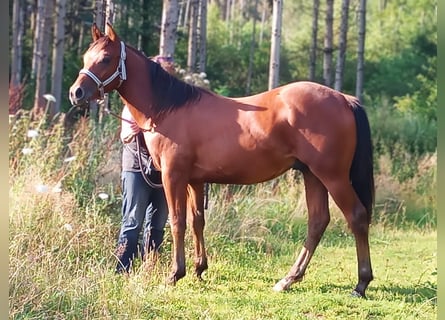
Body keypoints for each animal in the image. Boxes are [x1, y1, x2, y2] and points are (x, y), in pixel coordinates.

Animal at [69, 23, 374, 298]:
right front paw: (199, 268)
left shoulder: (173, 176)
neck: (169, 108)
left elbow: (177, 222)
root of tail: (344, 99)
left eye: (105, 59)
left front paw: (174, 274)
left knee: (356, 217)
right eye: (85, 57)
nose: (76, 93)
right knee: (318, 222)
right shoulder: (195, 181)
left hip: (332, 175)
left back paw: (360, 284)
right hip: (312, 174)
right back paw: (288, 279)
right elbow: (197, 221)